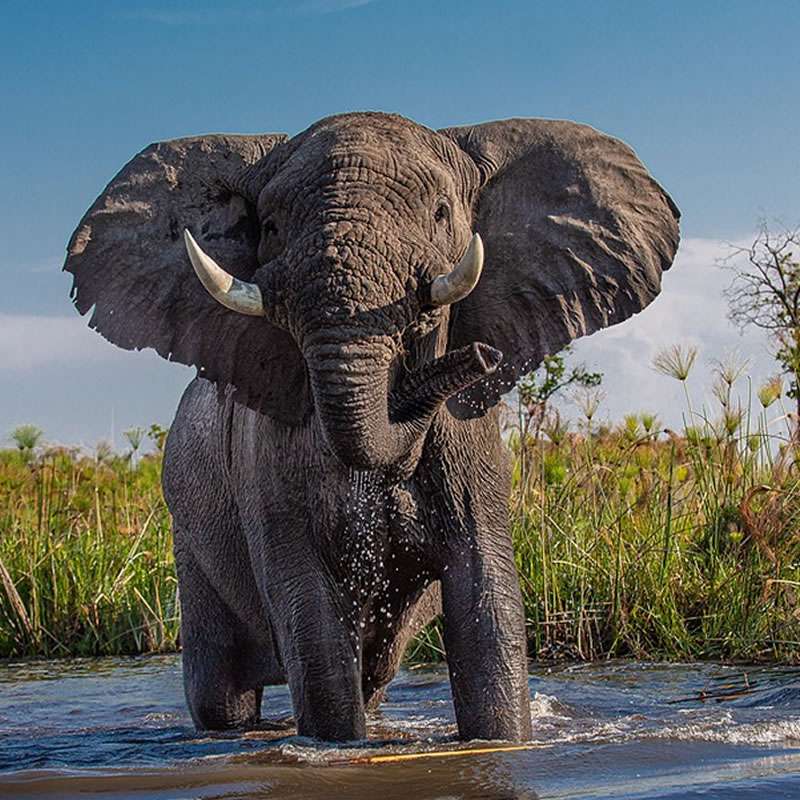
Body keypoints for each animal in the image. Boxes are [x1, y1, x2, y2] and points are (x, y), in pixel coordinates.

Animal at [64, 112, 679, 743]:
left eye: (441, 213)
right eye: (271, 226)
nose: (481, 356)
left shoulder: (472, 445)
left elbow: (487, 599)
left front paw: (500, 743)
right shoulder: (266, 459)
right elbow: (309, 614)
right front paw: (336, 748)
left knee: (372, 678)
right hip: (190, 534)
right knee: (222, 694)